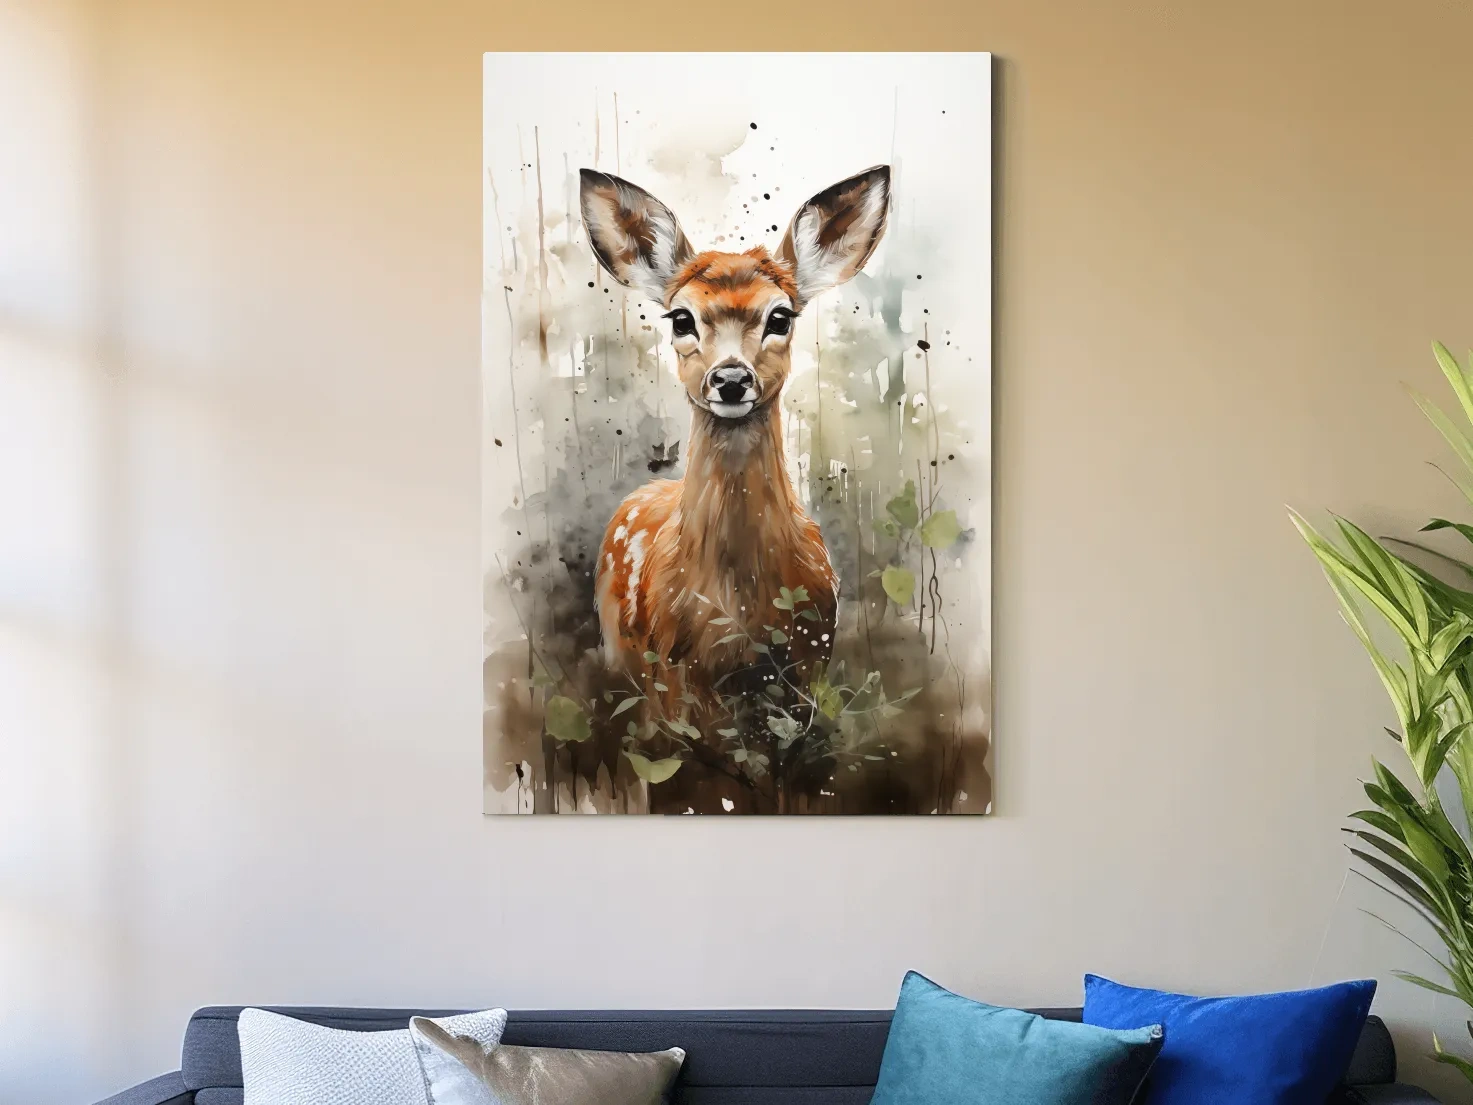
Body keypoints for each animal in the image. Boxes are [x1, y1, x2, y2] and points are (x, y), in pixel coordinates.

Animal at [580, 164, 891, 727]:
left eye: (781, 317)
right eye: (681, 319)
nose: (730, 379)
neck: (738, 612)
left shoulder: (811, 663)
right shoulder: (674, 678)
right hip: (621, 650)